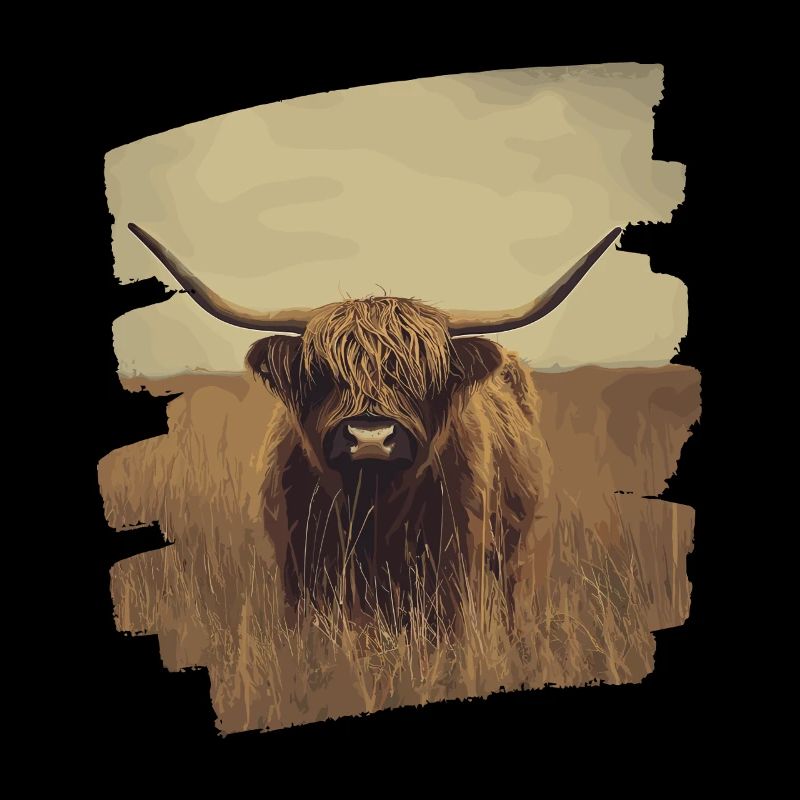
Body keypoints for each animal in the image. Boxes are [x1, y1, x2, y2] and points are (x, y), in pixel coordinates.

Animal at [128, 223, 621, 623]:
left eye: (423, 376)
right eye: (322, 374)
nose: (370, 438)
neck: (373, 509)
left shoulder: (458, 565)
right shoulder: (300, 570)